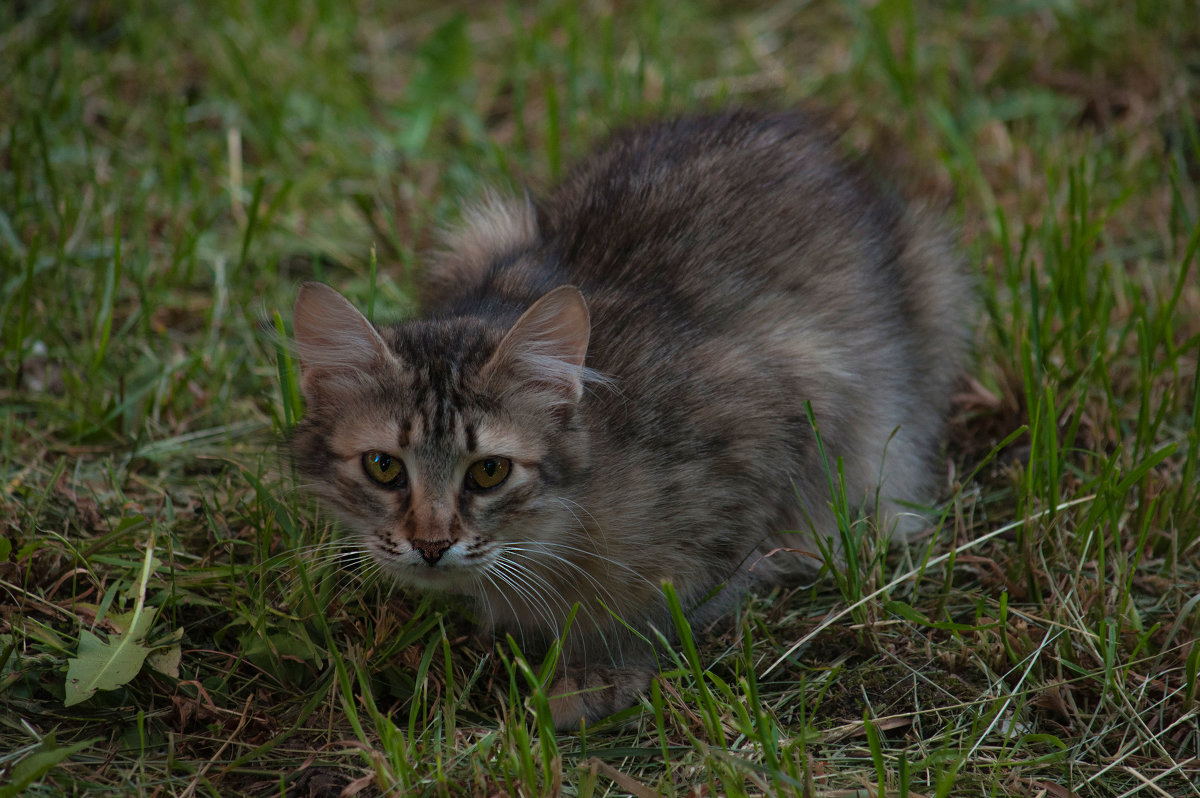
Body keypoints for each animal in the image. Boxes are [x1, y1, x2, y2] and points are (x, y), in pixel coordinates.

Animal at [290, 109, 974, 729]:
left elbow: (663, 609)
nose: (431, 546)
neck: (560, 528)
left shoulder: (786, 406)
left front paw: (595, 674)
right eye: (384, 467)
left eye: (488, 472)